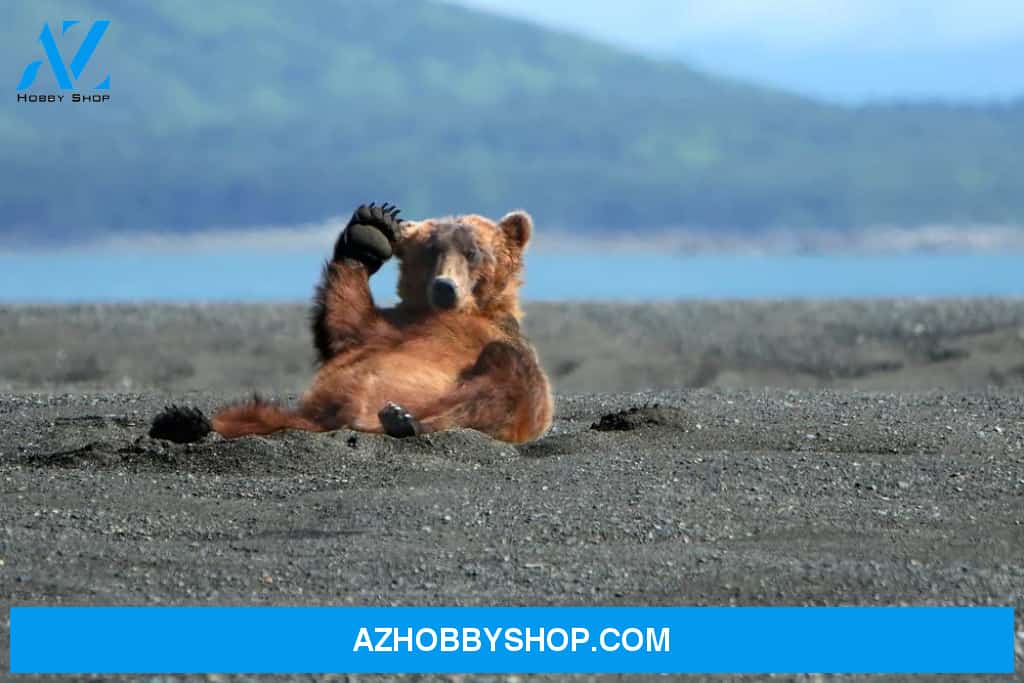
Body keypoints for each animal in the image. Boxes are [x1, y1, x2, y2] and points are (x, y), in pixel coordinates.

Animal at [150, 202, 554, 444]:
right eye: (431, 251)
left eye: (473, 252)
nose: (444, 287)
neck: (455, 315)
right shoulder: (388, 329)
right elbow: (346, 321)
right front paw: (371, 230)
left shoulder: (494, 337)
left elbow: (520, 384)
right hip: (298, 414)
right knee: (252, 414)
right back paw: (184, 421)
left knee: (504, 381)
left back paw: (405, 420)